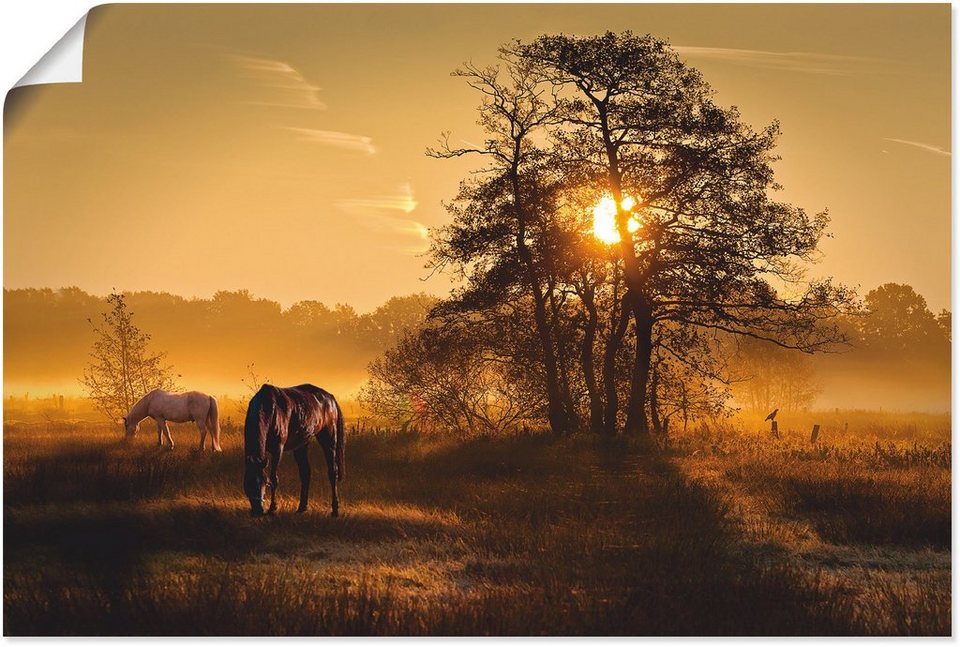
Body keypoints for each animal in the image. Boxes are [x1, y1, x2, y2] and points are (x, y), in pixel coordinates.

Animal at [244, 384, 344, 516]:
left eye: (265, 482)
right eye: (248, 483)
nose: (258, 510)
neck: (269, 409)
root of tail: (331, 398)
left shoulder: (278, 449)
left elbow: (274, 478)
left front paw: (273, 508)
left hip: (329, 440)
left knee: (332, 472)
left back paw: (335, 510)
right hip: (301, 445)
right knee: (305, 473)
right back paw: (302, 507)